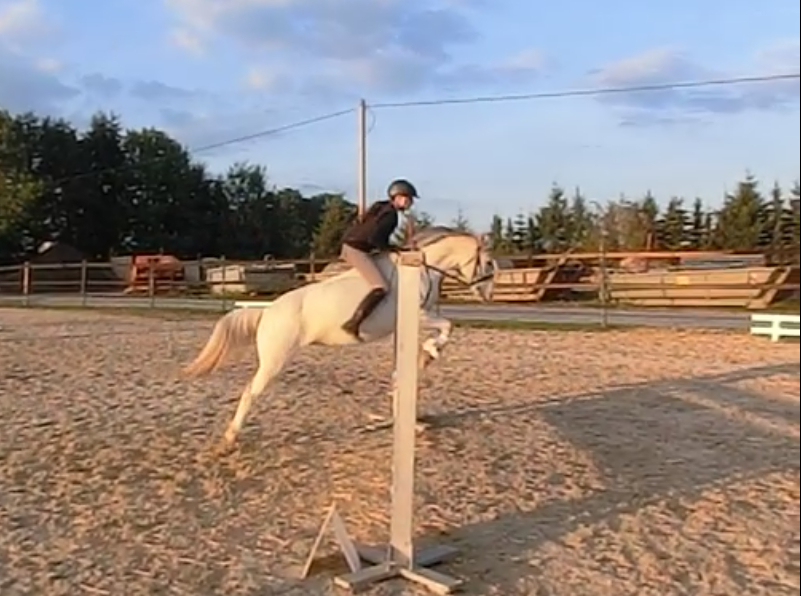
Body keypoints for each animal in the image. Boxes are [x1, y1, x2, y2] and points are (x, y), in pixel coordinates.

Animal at [183, 227, 496, 445]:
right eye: (490, 263)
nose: (488, 295)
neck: (421, 269)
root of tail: (267, 312)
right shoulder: (419, 316)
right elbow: (447, 326)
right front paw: (431, 351)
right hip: (274, 361)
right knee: (250, 391)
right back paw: (230, 438)